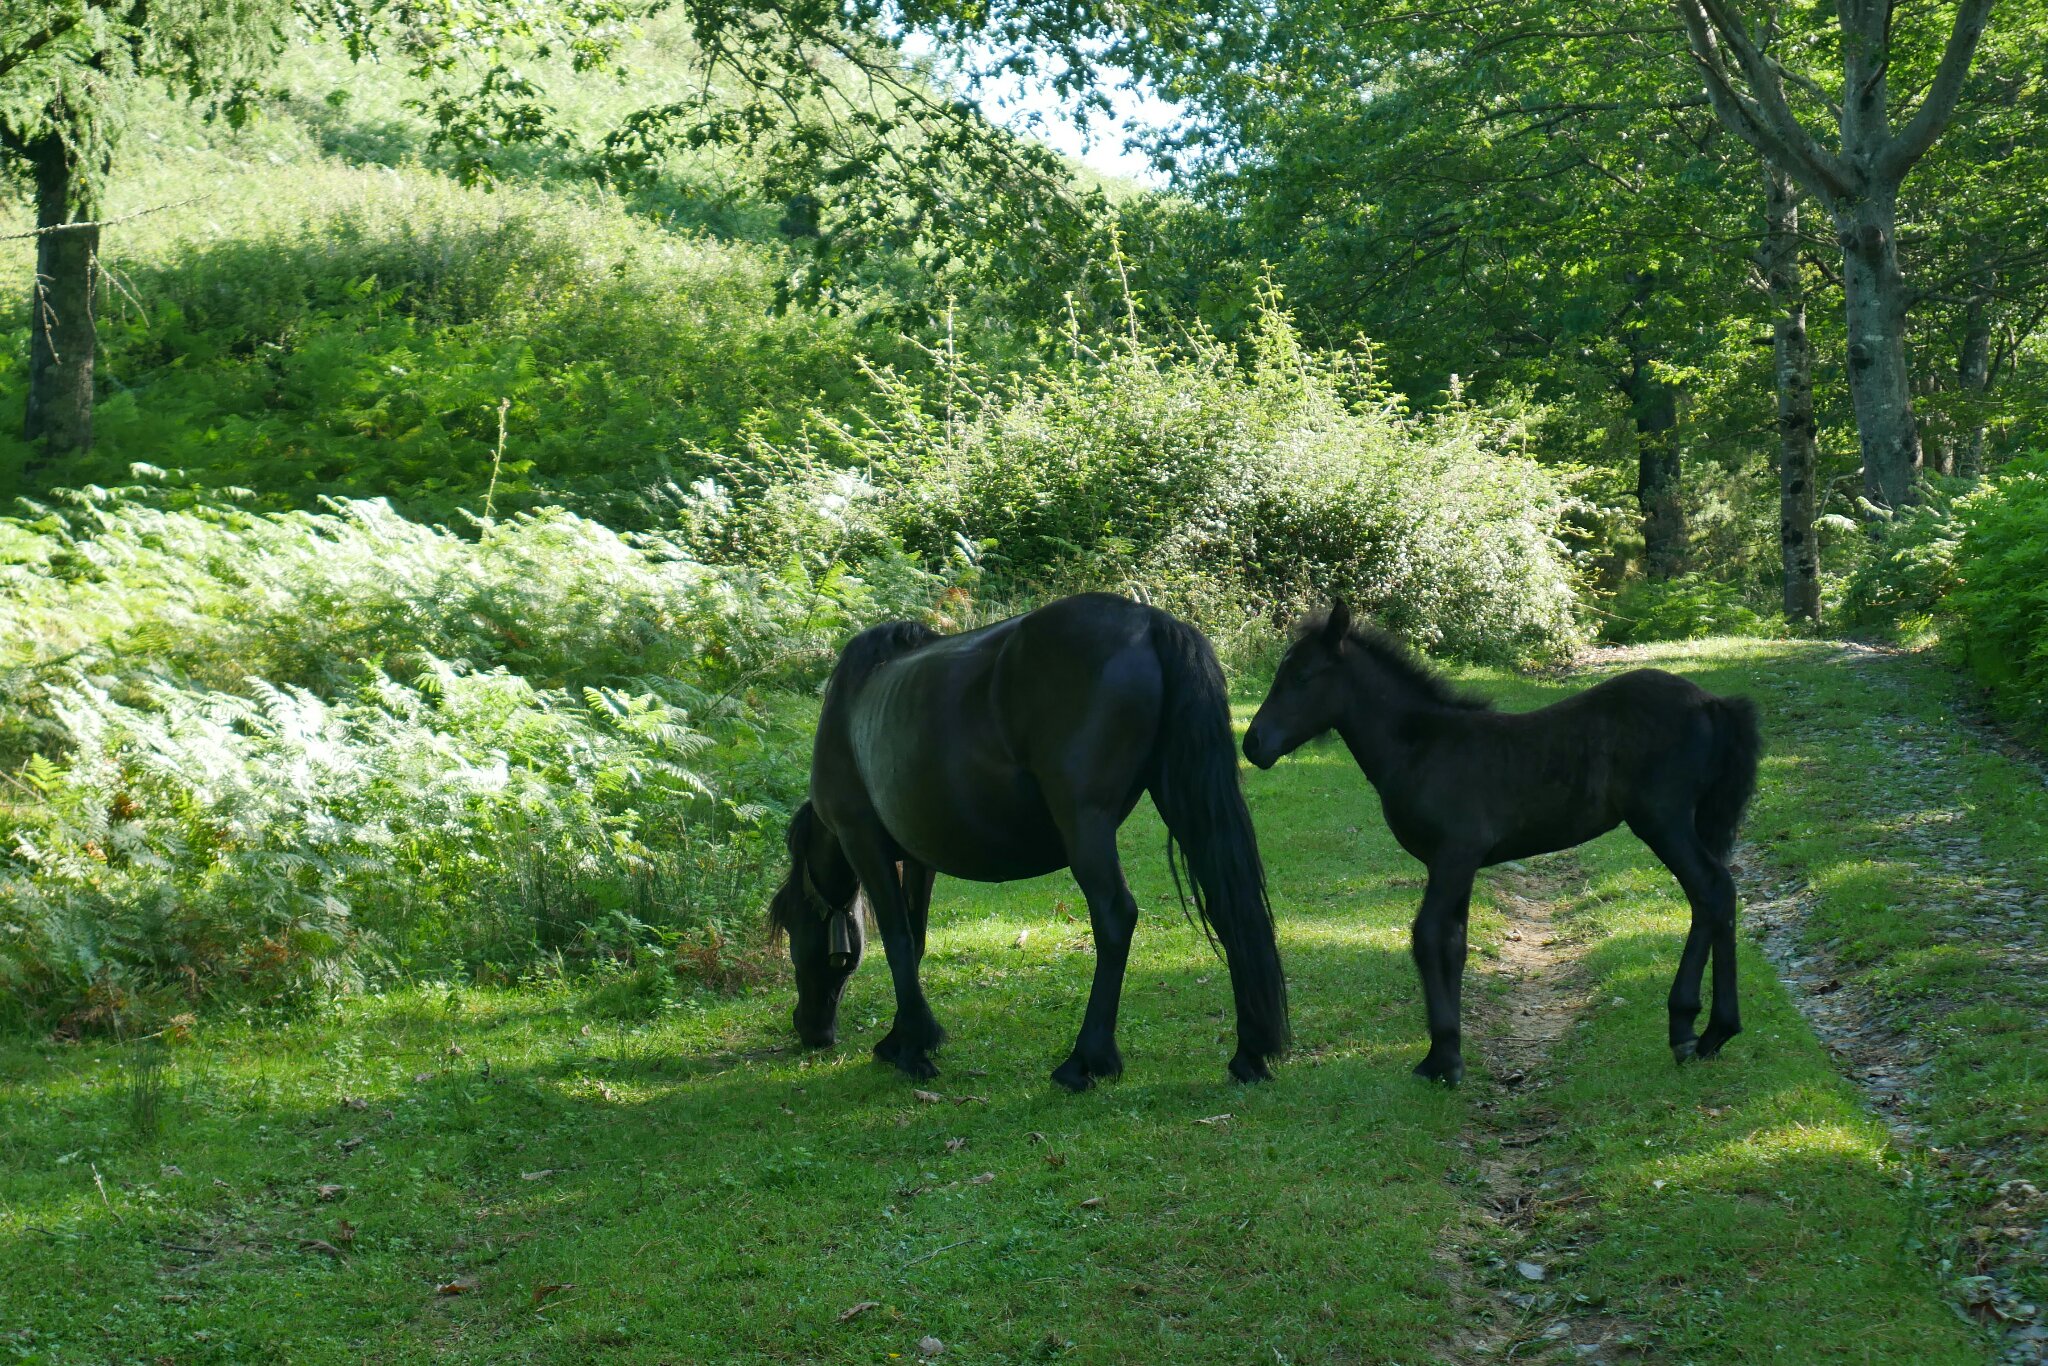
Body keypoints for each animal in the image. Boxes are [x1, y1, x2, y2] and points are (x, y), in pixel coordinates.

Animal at [761, 593, 1286, 1097]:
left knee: (1115, 916)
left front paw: (909, 1047)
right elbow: (916, 937)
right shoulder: (918, 860)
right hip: (1180, 797)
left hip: (1085, 825)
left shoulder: (863, 842)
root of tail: (1151, 623)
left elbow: (896, 939)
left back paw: (1084, 1061)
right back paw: (1249, 1055)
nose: (810, 1030)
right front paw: (906, 1036)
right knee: (1228, 906)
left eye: (792, 924)